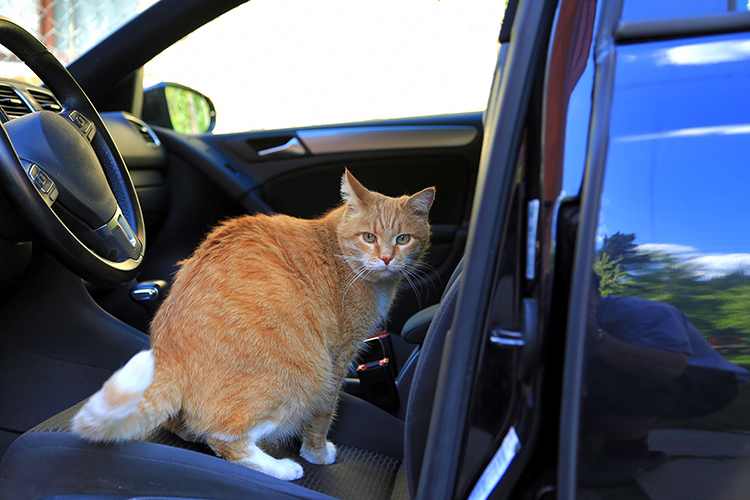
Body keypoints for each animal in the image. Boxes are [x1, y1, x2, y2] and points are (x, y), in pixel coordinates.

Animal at [72, 171, 434, 480]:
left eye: (403, 239)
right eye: (369, 237)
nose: (387, 258)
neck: (342, 253)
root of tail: (167, 352)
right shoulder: (337, 359)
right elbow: (322, 417)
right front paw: (316, 454)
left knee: (194, 428)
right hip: (306, 376)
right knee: (224, 438)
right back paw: (283, 468)